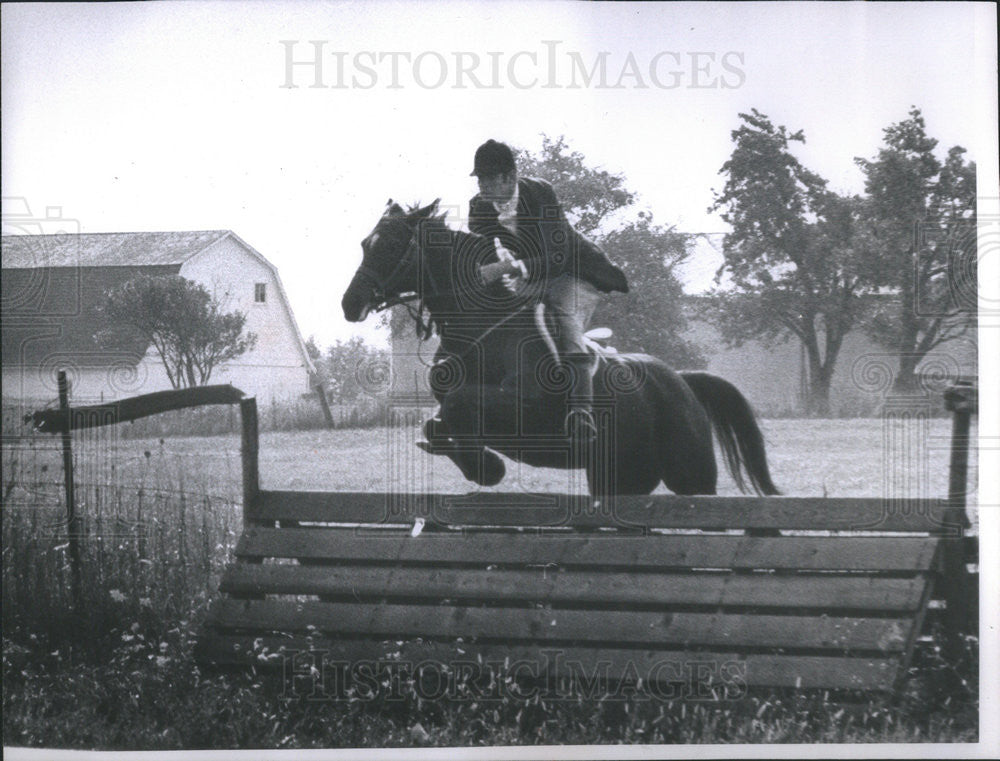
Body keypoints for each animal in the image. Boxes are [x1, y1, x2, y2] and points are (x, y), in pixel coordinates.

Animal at [344, 199, 780, 496]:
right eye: (365, 243)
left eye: (392, 245)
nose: (350, 304)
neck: (483, 329)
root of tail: (683, 381)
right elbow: (436, 423)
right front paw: (478, 465)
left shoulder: (527, 407)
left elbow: (459, 403)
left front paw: (488, 468)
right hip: (621, 476)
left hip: (690, 472)